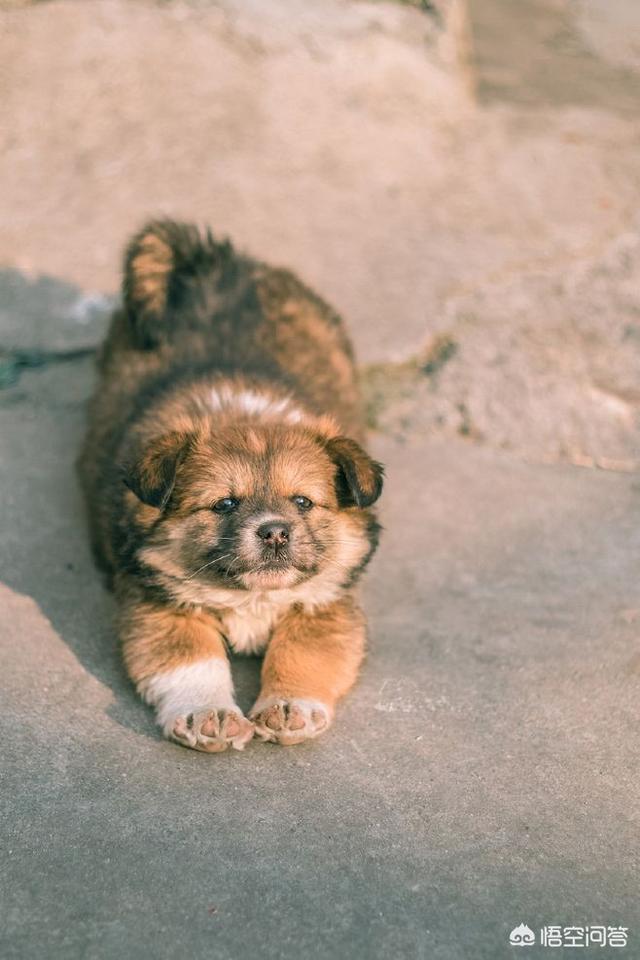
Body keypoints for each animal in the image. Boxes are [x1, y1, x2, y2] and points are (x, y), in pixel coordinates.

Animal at [77, 219, 382, 752]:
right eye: (223, 504)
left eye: (303, 502)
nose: (275, 532)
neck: (251, 595)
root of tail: (216, 263)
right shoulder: (160, 609)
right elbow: (193, 661)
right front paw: (210, 717)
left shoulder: (327, 606)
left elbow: (301, 654)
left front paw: (289, 708)